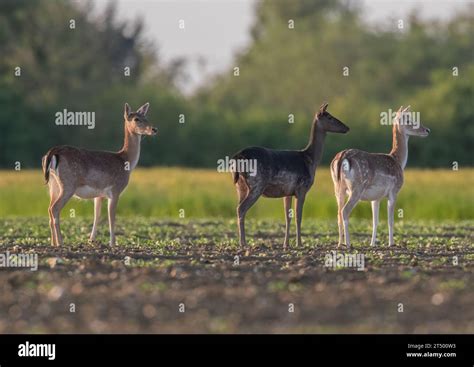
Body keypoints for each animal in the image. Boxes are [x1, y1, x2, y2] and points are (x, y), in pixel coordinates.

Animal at [41, 103, 156, 247]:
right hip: (68, 185)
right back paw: (60, 243)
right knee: (54, 209)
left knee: (49, 208)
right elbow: (111, 217)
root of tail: (52, 153)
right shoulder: (115, 190)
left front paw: (91, 240)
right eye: (136, 119)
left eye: (146, 117)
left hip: (53, 185)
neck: (126, 161)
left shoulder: (99, 195)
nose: (154, 129)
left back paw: (53, 242)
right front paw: (113, 244)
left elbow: (97, 215)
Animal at [232, 102, 348, 249]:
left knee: (238, 207)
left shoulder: (287, 192)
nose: (347, 127)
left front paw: (286, 244)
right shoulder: (302, 188)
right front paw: (299, 243)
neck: (311, 160)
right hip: (256, 184)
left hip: (240, 185)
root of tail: (237, 157)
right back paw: (244, 243)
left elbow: (287, 217)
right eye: (329, 117)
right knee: (241, 208)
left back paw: (241, 242)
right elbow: (298, 216)